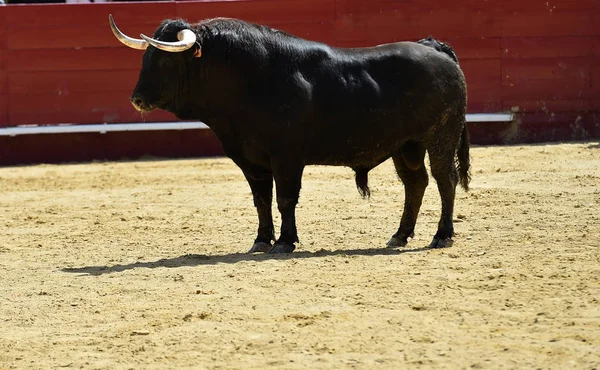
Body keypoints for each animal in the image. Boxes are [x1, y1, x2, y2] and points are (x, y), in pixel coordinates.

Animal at [110, 15, 472, 253]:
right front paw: (260, 241)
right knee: (416, 183)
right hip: (406, 145)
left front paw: (285, 242)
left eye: (164, 60)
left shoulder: (286, 157)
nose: (137, 99)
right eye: (146, 57)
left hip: (441, 135)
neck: (247, 80)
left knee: (445, 179)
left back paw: (442, 235)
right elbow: (261, 200)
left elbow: (285, 198)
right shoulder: (249, 159)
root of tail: (433, 48)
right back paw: (400, 235)